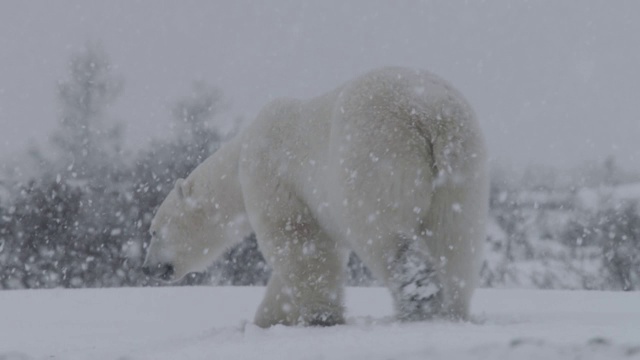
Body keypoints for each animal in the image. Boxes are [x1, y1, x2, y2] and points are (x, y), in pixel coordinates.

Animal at [142, 67, 488, 326]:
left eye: (154, 231)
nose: (147, 268)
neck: (240, 158)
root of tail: (430, 114)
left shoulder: (273, 176)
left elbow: (299, 243)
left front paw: (321, 316)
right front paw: (267, 320)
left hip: (374, 153)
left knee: (383, 230)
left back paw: (418, 301)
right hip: (461, 163)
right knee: (454, 238)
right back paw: (451, 310)